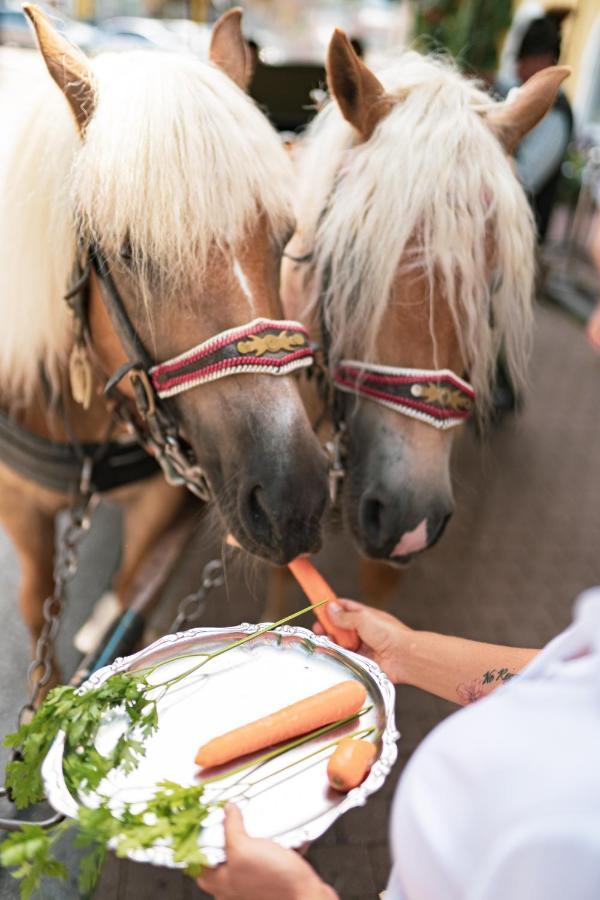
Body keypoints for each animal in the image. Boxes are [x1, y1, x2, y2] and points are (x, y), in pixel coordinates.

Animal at [0, 5, 328, 684]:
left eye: (285, 237)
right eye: (129, 252)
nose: (296, 499)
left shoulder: (160, 501)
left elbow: (132, 599)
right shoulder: (17, 506)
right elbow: (36, 606)